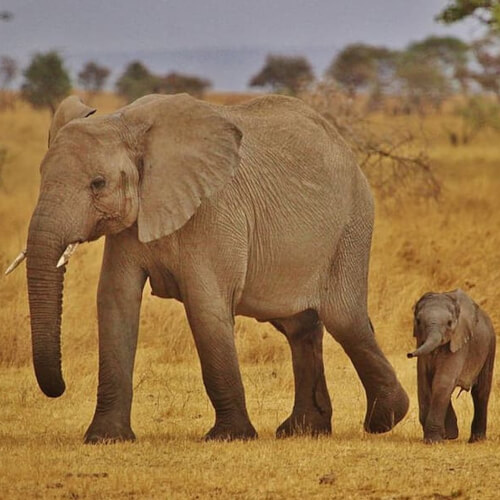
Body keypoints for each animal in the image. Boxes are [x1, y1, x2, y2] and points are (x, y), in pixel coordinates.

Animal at [9, 93, 408, 442]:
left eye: (98, 183)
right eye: (41, 176)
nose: (58, 388)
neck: (126, 124)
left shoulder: (214, 211)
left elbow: (205, 308)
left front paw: (230, 436)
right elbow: (115, 303)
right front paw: (105, 438)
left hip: (351, 225)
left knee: (344, 319)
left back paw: (385, 419)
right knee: (299, 327)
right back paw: (303, 430)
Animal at [408, 288, 494, 444]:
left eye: (449, 323)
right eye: (418, 321)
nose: (409, 354)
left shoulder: (460, 341)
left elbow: (442, 380)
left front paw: (434, 441)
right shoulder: (421, 343)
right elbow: (424, 381)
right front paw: (446, 436)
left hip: (490, 345)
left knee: (481, 392)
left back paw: (477, 440)